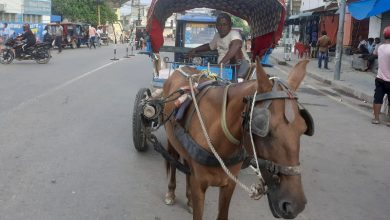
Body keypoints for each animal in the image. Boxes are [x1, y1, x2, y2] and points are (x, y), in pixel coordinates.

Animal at [161, 59, 310, 219]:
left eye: (303, 128)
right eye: (265, 129)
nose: (295, 205)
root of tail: (180, 68)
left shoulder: (229, 184)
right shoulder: (199, 185)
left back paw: (189, 200)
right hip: (172, 141)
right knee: (173, 161)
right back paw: (170, 192)